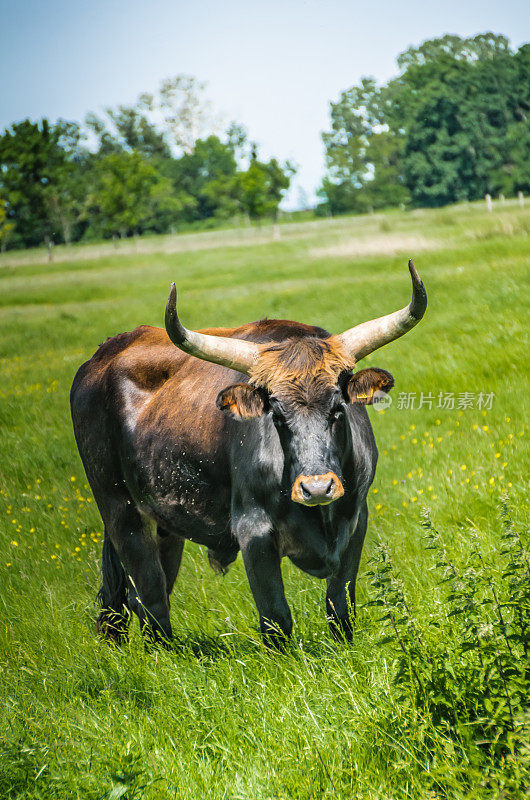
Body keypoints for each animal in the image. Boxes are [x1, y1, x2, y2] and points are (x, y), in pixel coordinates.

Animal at [70, 260, 424, 648]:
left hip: (163, 522)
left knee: (137, 593)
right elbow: (276, 617)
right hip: (119, 510)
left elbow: (340, 604)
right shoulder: (253, 531)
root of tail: (103, 354)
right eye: (277, 415)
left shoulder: (356, 522)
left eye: (337, 408)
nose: (317, 488)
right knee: (149, 594)